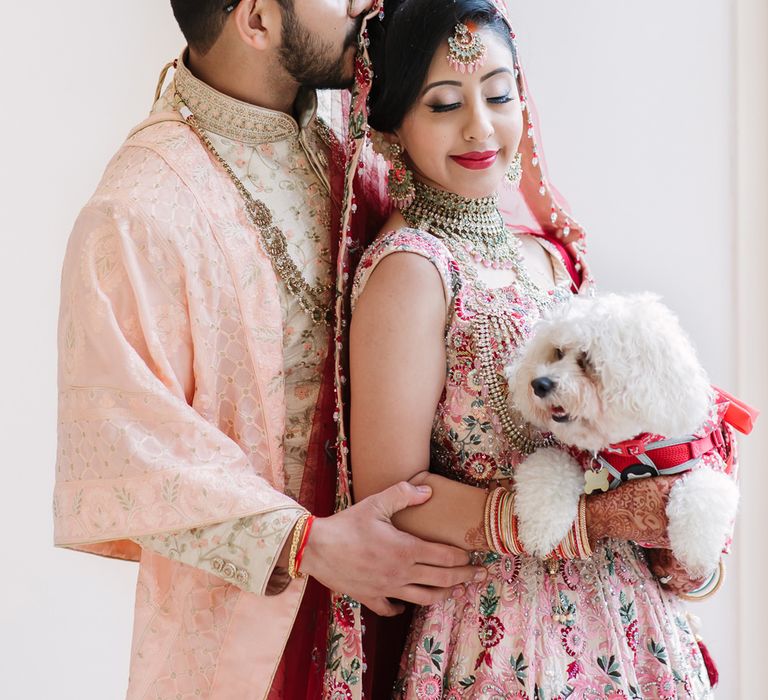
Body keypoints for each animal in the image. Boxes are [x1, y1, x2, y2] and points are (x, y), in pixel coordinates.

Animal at [508, 292, 740, 576]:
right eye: (558, 352)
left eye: (587, 360)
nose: (538, 384)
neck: (630, 446)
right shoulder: (568, 456)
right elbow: (550, 470)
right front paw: (538, 532)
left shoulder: (706, 462)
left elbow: (704, 490)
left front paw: (697, 555)